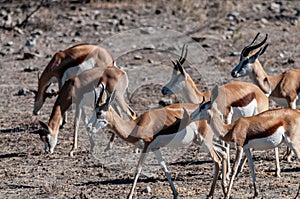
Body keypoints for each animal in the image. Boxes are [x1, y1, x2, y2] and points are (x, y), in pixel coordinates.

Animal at [95, 90, 229, 199]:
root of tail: (214, 111)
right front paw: (175, 193)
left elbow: (138, 169)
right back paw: (224, 189)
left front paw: (129, 196)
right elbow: (165, 168)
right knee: (223, 151)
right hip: (200, 141)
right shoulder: (155, 148)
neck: (136, 125)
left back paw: (211, 194)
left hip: (204, 141)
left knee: (217, 159)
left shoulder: (146, 146)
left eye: (99, 112)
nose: (91, 127)